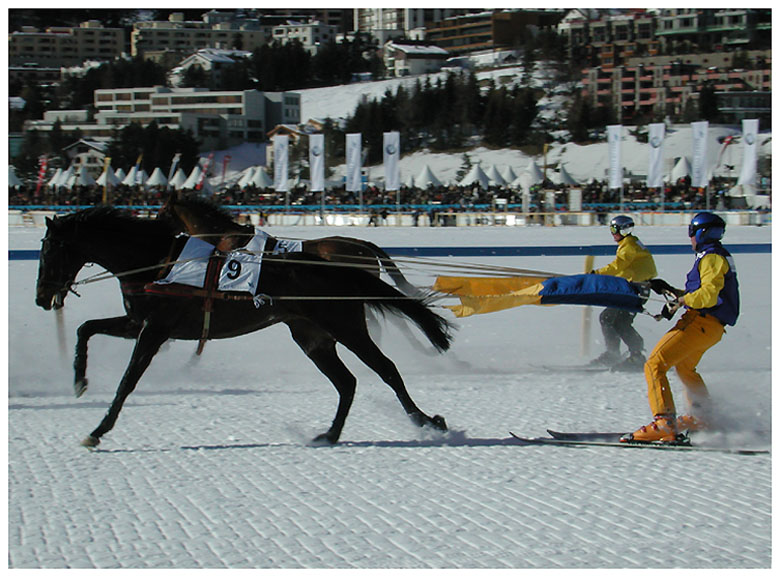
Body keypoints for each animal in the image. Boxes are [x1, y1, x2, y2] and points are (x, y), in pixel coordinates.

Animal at [35, 206, 450, 446]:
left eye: (51, 249)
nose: (41, 297)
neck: (157, 262)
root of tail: (338, 264)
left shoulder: (154, 329)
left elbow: (127, 381)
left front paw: (97, 430)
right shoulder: (137, 321)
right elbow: (85, 329)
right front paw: (79, 379)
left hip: (346, 327)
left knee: (386, 369)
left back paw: (426, 420)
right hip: (311, 336)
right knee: (346, 382)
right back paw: (330, 434)